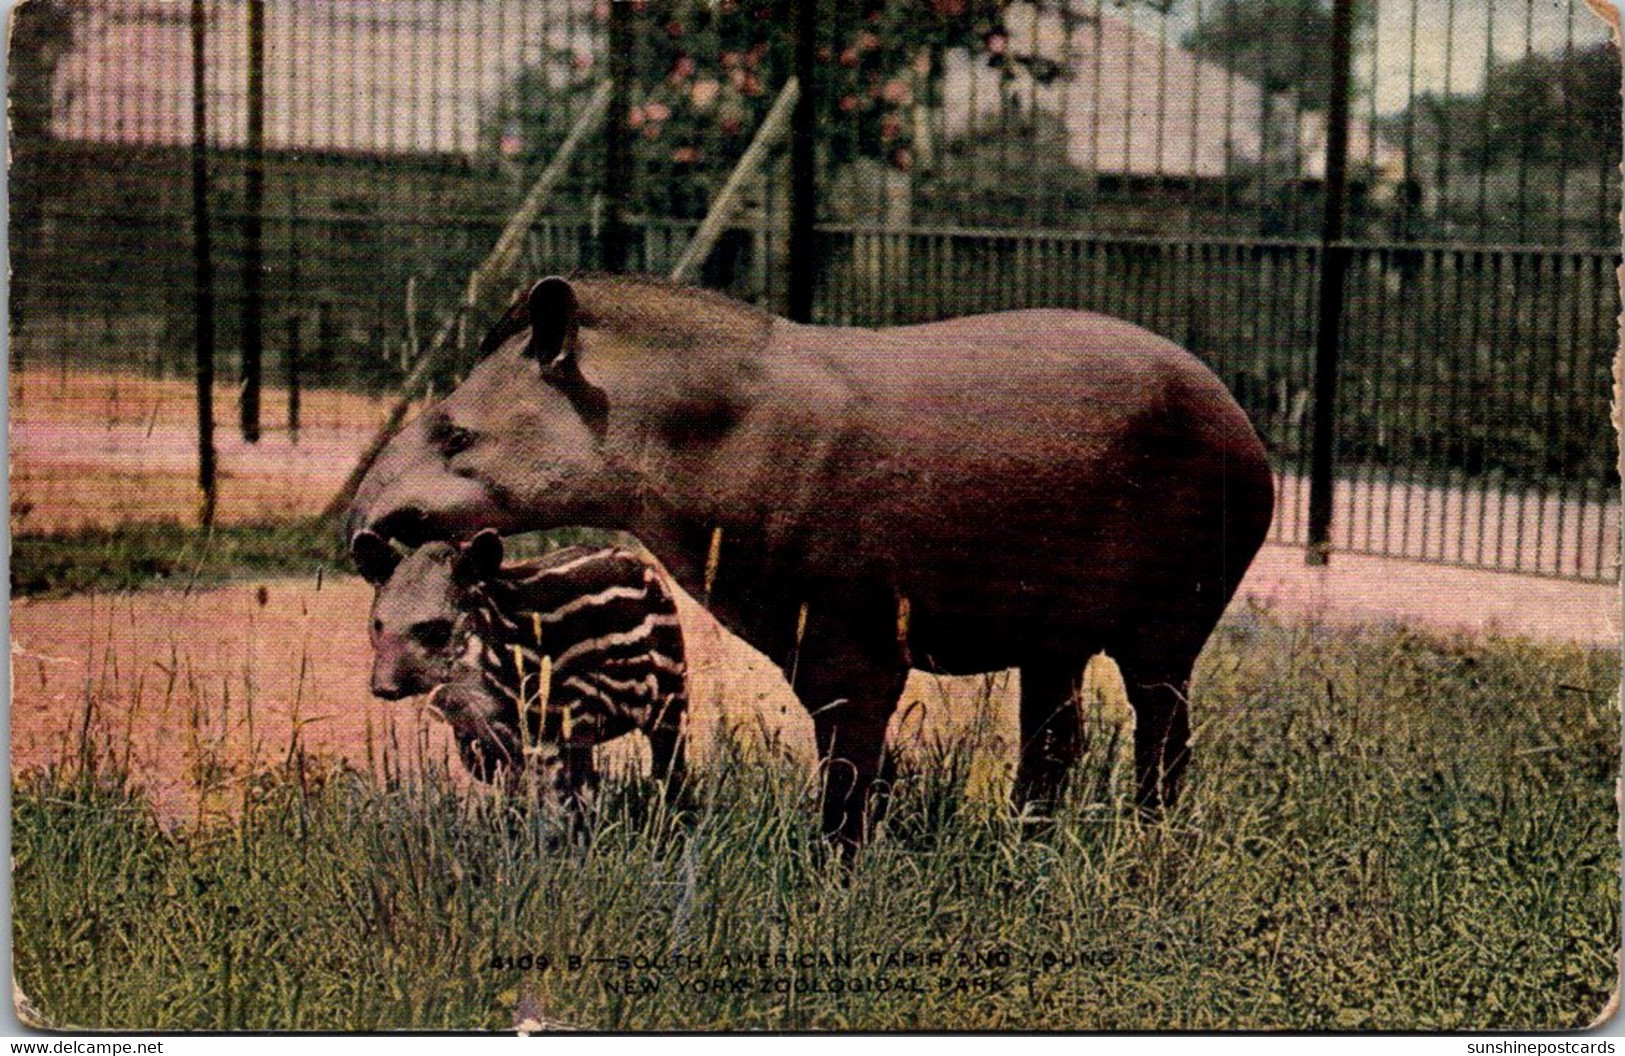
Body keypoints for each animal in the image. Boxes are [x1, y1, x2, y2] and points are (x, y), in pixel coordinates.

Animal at [355, 523, 685, 802]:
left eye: (436, 629)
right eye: (377, 624)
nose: (383, 687)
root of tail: (645, 564)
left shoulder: (550, 727)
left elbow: (552, 800)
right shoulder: (481, 737)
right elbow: (509, 788)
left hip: (670, 689)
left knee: (668, 762)